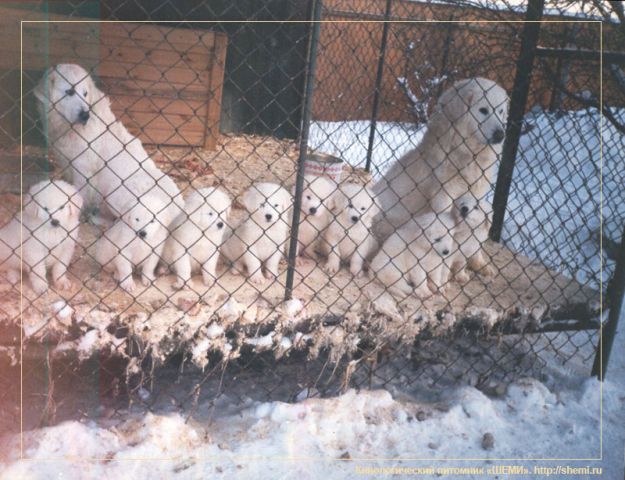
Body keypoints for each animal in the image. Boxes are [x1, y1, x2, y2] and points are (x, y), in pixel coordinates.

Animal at [33, 62, 183, 223]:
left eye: (85, 94)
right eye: (70, 92)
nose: (85, 115)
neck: (69, 128)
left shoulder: (83, 168)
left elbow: (80, 193)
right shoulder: (66, 162)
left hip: (117, 192)